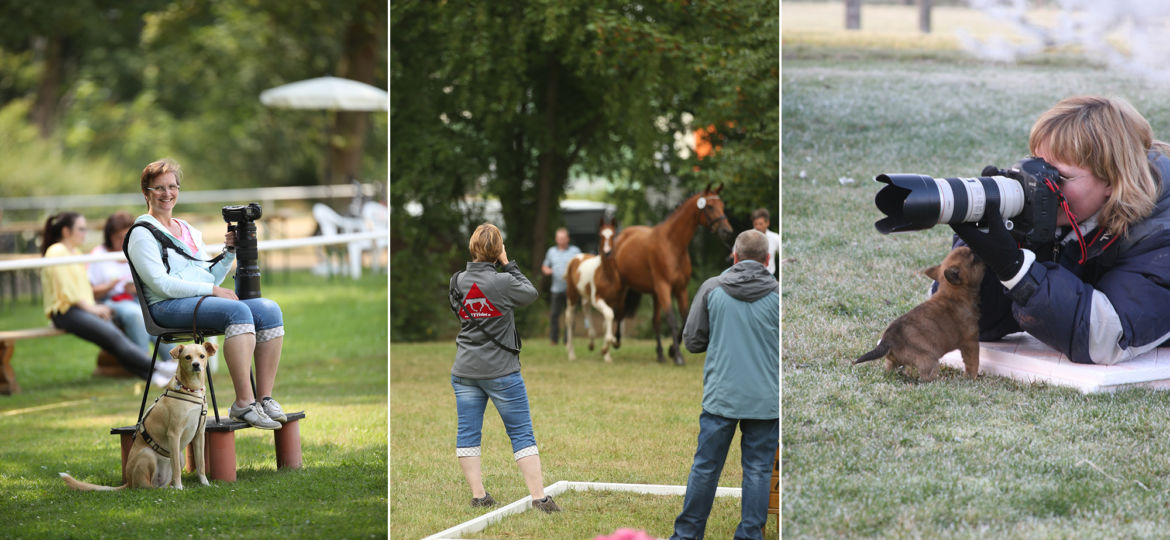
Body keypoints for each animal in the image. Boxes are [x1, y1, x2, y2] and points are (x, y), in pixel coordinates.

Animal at [59, 341, 215, 488]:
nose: (196, 365)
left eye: (202, 356)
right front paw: (179, 487)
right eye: (187, 357)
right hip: (148, 454)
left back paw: (168, 488)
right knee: (145, 486)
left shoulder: (199, 434)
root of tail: (128, 481)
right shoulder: (174, 433)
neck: (191, 390)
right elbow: (176, 468)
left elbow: (201, 464)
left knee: (160, 484)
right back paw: (168, 489)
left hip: (179, 457)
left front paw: (205, 484)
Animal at [563, 216, 627, 362]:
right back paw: (571, 353)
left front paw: (607, 354)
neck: (607, 276)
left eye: (613, 235)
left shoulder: (615, 301)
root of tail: (577, 257)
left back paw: (591, 343)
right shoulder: (597, 299)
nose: (608, 252)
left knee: (586, 309)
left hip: (586, 296)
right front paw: (608, 343)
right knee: (570, 318)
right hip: (572, 294)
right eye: (601, 235)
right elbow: (609, 314)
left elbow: (607, 321)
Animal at [613, 183, 730, 364]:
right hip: (623, 286)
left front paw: (671, 351)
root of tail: (622, 236)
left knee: (655, 321)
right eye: (710, 206)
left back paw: (660, 354)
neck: (672, 245)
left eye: (722, 206)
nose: (726, 231)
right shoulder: (664, 287)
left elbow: (684, 319)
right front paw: (679, 357)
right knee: (618, 311)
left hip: (654, 293)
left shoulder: (680, 289)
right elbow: (672, 320)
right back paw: (616, 341)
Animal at [856, 244, 982, 378]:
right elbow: (973, 362)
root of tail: (888, 340)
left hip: (893, 361)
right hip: (929, 360)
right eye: (974, 259)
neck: (953, 293)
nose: (973, 248)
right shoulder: (970, 342)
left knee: (890, 368)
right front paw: (971, 377)